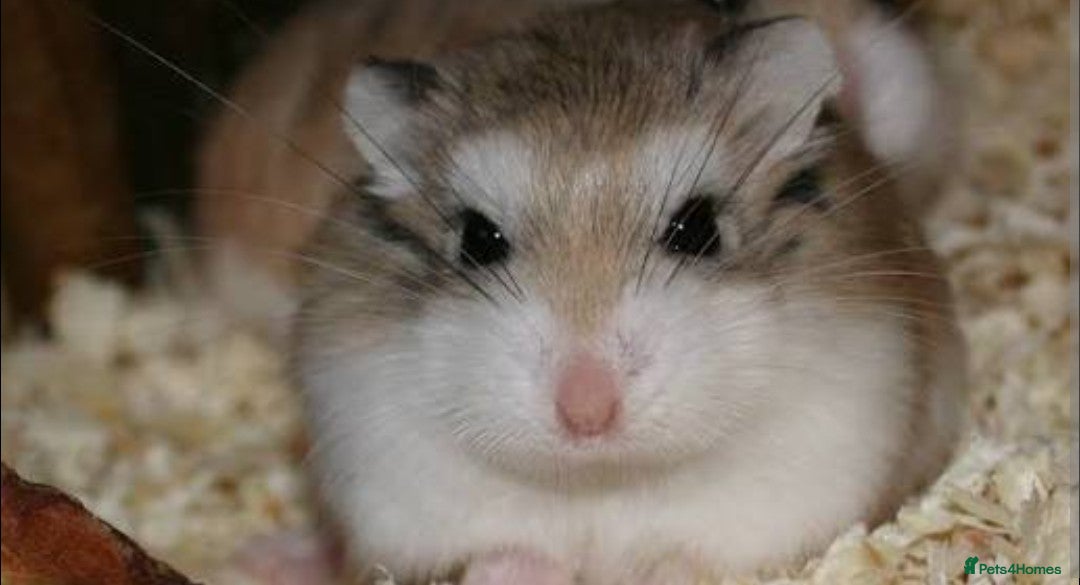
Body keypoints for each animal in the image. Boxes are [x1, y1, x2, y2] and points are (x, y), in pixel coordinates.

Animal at [282, 1, 966, 583]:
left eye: (698, 229)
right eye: (477, 240)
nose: (587, 413)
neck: (603, 476)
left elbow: (686, 556)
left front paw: (655, 570)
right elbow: (501, 554)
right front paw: (523, 570)